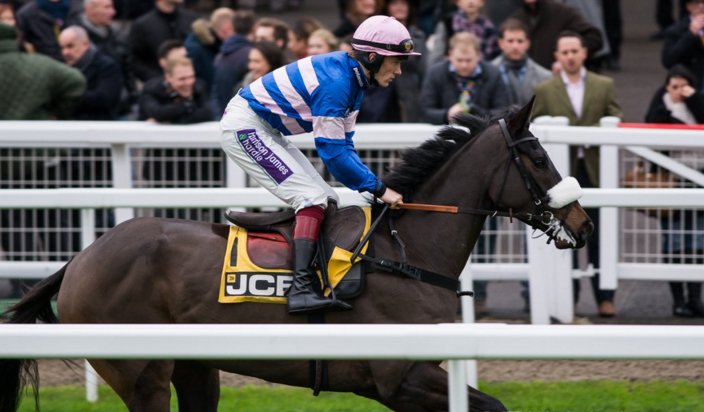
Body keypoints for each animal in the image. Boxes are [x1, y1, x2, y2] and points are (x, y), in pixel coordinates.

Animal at [0, 99, 593, 412]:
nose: (583, 224)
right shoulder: (398, 375)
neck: (403, 252)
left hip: (196, 369)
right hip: (142, 374)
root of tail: (81, 259)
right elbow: (493, 405)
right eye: (538, 158)